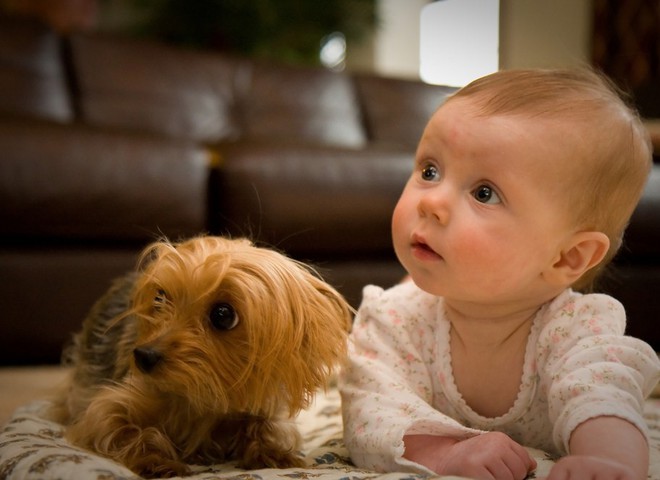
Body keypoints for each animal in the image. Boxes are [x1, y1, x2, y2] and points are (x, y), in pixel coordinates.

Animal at [50, 236, 356, 476]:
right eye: (160, 298)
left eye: (223, 315)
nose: (143, 356)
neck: (202, 394)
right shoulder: (105, 411)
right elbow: (119, 425)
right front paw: (156, 460)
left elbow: (265, 427)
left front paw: (274, 453)